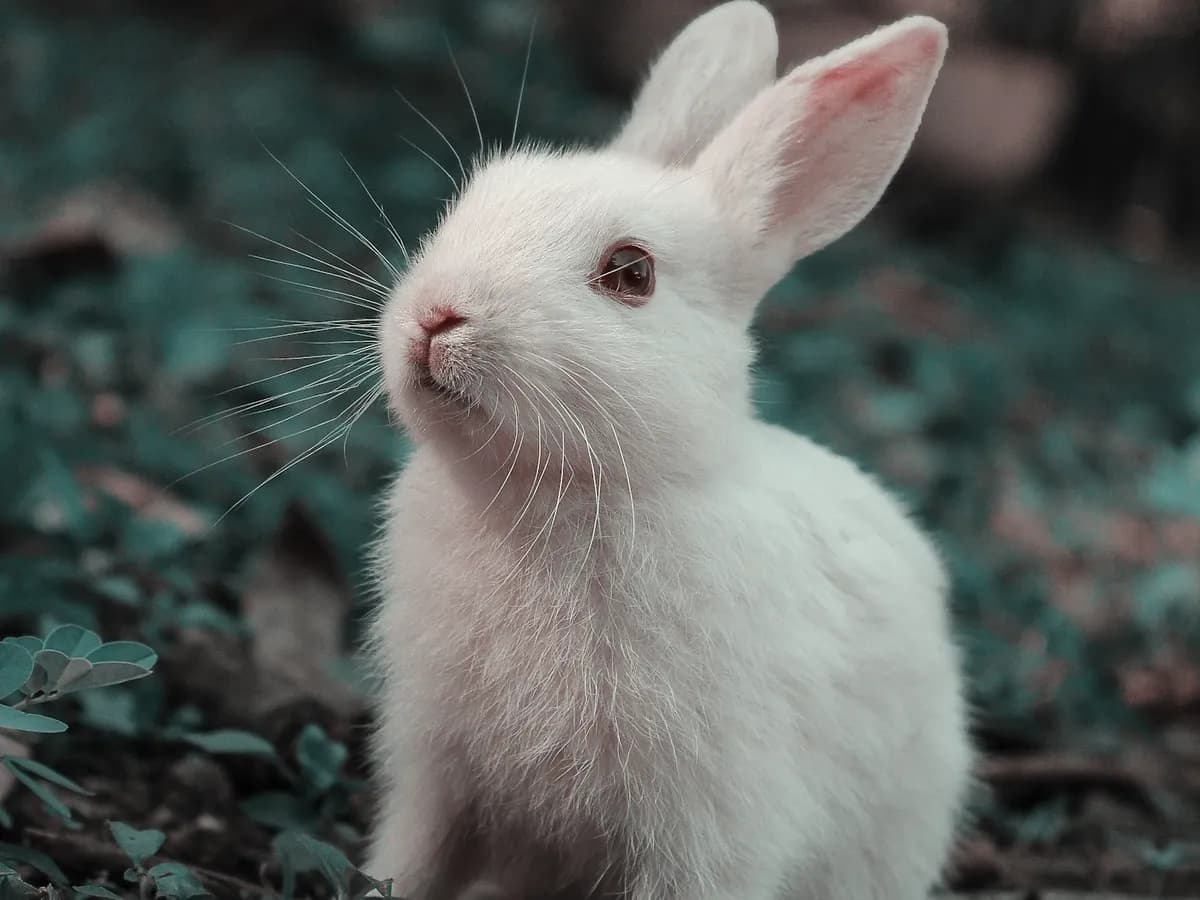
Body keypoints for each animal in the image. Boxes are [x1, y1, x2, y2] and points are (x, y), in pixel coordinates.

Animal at [364, 2, 972, 899]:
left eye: (630, 272)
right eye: (470, 202)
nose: (437, 316)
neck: (561, 489)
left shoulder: (708, 828)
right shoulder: (436, 778)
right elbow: (407, 862)